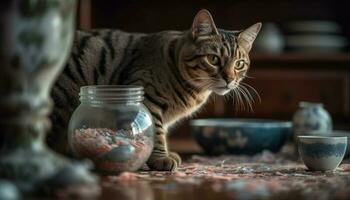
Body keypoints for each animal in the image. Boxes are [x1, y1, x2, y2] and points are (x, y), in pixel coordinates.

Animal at [50, 9, 262, 171]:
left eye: (239, 64)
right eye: (213, 59)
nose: (230, 79)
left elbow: (159, 131)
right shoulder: (146, 96)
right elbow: (155, 131)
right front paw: (160, 157)